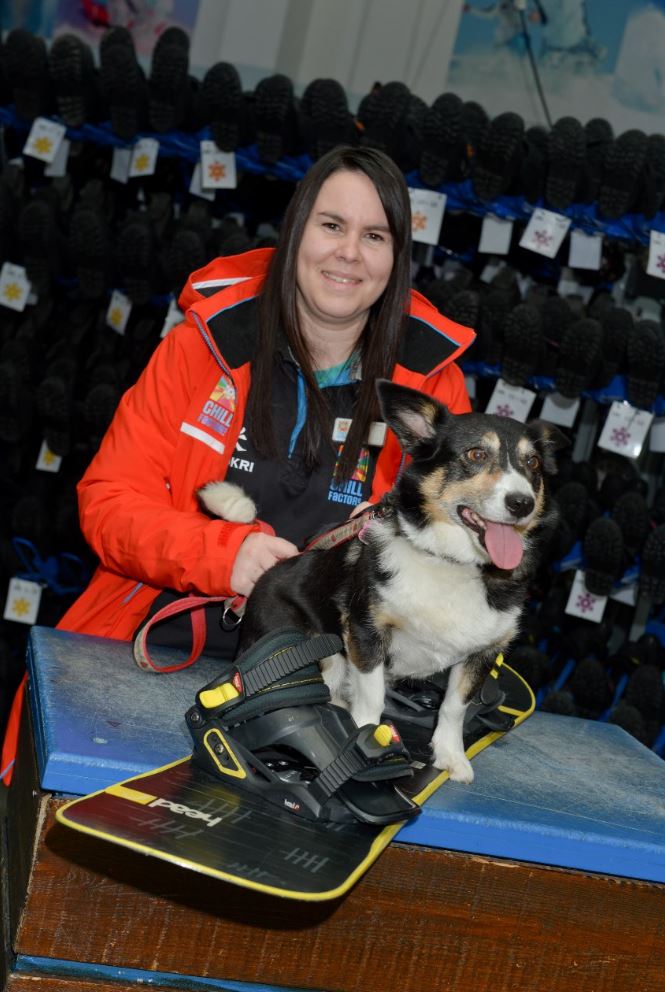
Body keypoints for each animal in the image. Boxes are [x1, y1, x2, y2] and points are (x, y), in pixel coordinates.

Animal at [198, 380, 564, 784]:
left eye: (533, 464)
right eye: (476, 454)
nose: (521, 503)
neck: (453, 560)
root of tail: (277, 565)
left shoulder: (481, 654)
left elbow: (454, 708)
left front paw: (450, 756)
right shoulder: (366, 633)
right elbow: (371, 696)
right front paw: (365, 740)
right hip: (311, 647)